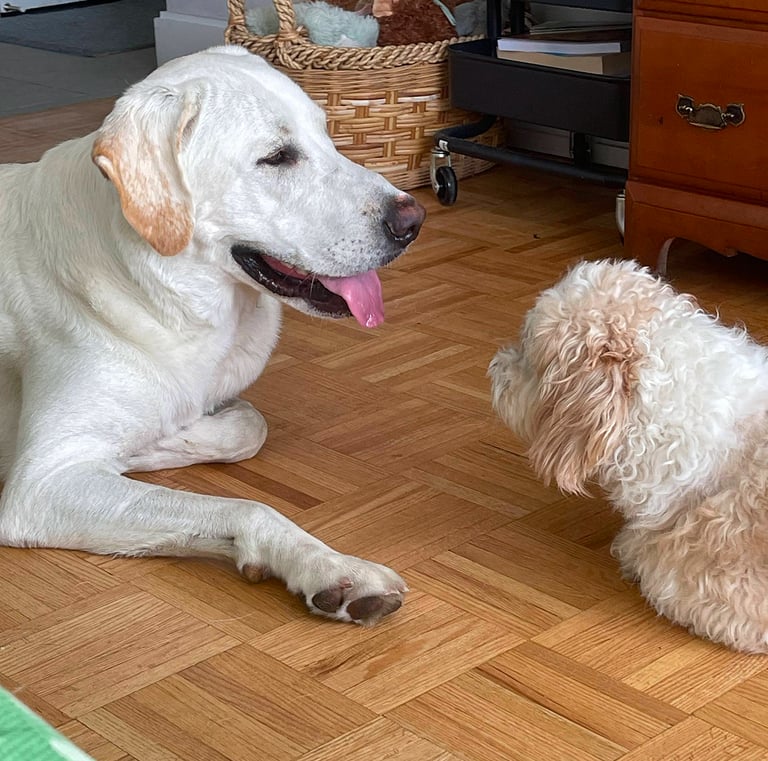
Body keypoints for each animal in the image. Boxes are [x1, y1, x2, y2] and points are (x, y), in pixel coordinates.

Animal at [0, 45, 425, 626]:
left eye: (327, 135)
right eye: (277, 157)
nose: (414, 221)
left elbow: (248, 424)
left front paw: (160, 443)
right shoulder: (42, 485)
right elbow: (248, 507)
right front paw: (330, 567)